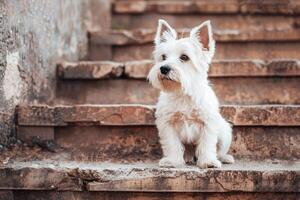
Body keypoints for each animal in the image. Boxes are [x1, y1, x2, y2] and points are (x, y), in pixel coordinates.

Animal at [148, 19, 234, 168]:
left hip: (225, 132)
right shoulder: (168, 123)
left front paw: (208, 162)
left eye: (184, 57)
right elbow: (172, 144)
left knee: (220, 150)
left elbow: (207, 144)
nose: (164, 68)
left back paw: (224, 158)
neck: (183, 92)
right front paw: (172, 161)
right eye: (163, 57)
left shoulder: (207, 123)